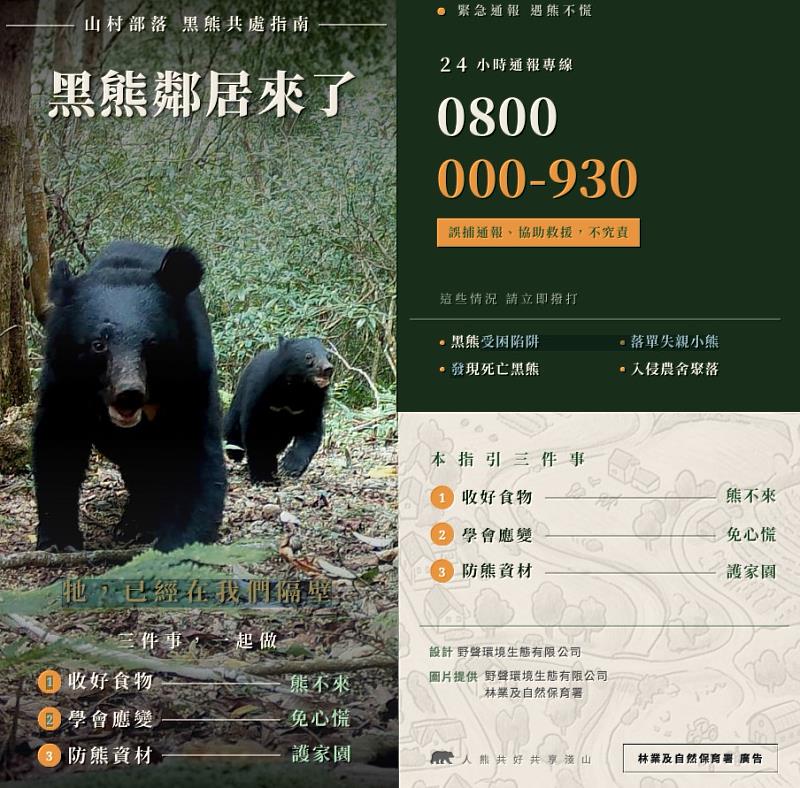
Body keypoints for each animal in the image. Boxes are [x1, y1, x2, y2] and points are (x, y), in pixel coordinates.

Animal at [33, 241, 226, 552]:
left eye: (152, 343)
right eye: (98, 345)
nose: (129, 394)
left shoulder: (193, 376)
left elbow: (195, 453)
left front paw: (179, 540)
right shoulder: (62, 380)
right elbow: (58, 444)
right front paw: (60, 541)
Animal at [223, 337, 333, 483]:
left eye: (328, 356)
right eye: (308, 356)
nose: (328, 369)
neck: (295, 389)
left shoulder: (310, 406)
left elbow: (310, 433)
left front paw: (289, 466)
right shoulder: (260, 394)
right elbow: (255, 433)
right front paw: (263, 477)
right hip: (239, 396)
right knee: (233, 425)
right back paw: (235, 454)